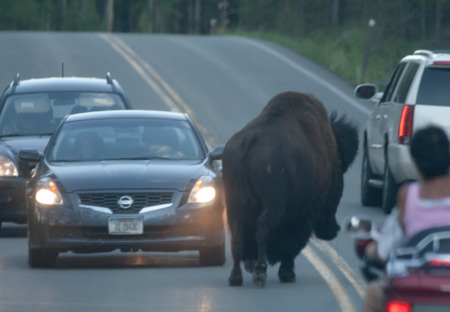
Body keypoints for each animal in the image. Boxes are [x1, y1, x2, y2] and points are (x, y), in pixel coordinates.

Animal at [221, 91, 358, 286]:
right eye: (340, 173)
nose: (333, 230)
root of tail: (251, 141)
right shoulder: (307, 213)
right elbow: (294, 243)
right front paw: (287, 274)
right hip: (273, 205)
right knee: (263, 228)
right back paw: (260, 271)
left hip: (234, 204)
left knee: (237, 236)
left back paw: (236, 278)